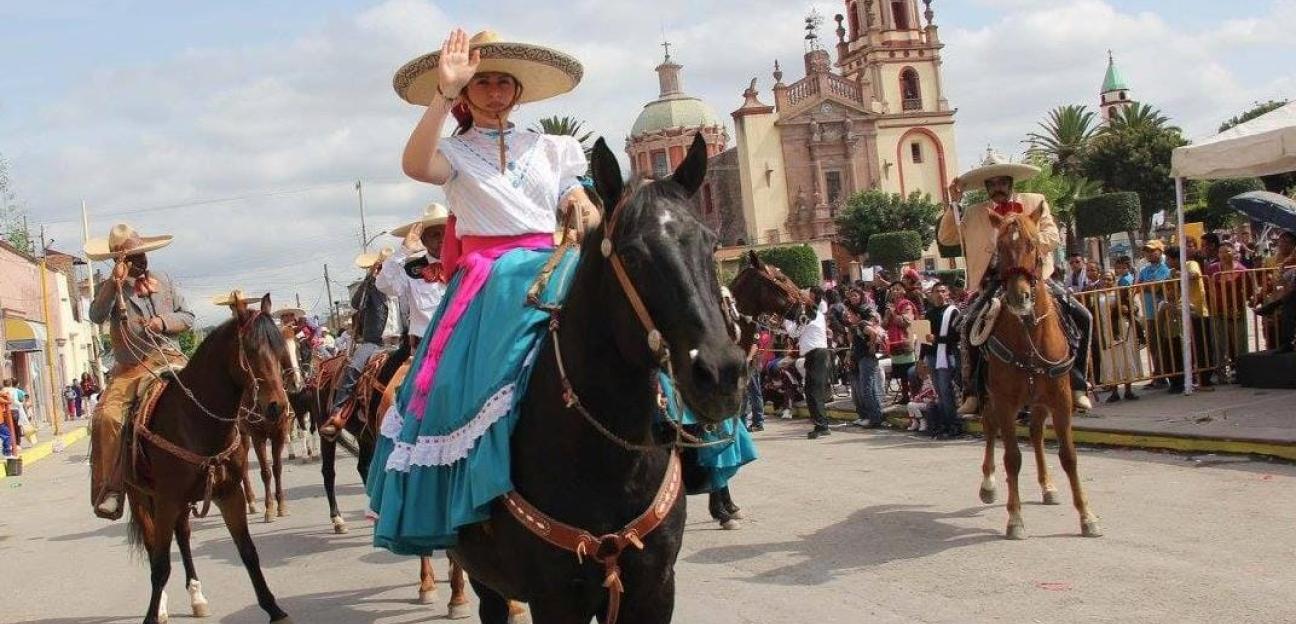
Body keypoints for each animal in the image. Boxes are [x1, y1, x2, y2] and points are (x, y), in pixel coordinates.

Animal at [121, 293, 294, 622]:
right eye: (252, 350)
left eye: (280, 349)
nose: (277, 407)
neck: (196, 421)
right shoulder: (167, 498)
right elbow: (160, 564)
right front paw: (151, 615)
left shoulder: (227, 493)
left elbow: (248, 551)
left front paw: (274, 608)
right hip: (142, 497)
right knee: (154, 547)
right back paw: (163, 605)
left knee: (184, 537)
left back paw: (197, 596)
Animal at [453, 133, 741, 620]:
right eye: (632, 255)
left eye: (711, 243)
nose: (720, 373)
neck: (606, 453)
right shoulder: (555, 600)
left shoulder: (655, 588)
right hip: (485, 577)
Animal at [974, 210, 1099, 539]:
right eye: (1000, 247)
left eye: (1032, 244)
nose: (1019, 297)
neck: (1029, 335)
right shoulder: (1005, 402)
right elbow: (1012, 458)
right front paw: (1015, 518)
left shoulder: (1061, 399)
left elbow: (1069, 456)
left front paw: (1087, 516)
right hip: (992, 396)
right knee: (990, 427)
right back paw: (988, 485)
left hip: (1039, 401)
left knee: (1036, 433)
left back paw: (1048, 486)